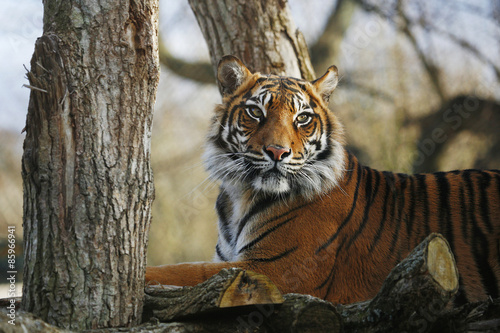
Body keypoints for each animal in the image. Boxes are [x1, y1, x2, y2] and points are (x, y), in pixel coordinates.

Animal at [146, 54, 500, 304]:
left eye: (302, 118)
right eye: (255, 112)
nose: (277, 152)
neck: (240, 195)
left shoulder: (271, 269)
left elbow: (183, 272)